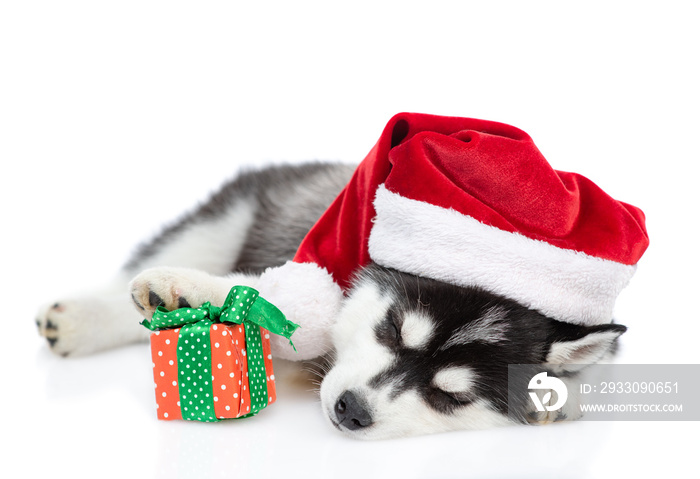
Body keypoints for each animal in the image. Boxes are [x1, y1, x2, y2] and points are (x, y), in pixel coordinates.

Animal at [35, 163, 628, 440]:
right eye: (391, 330)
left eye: (451, 396)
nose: (351, 410)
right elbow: (266, 298)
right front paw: (190, 289)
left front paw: (557, 403)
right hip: (226, 219)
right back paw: (91, 316)